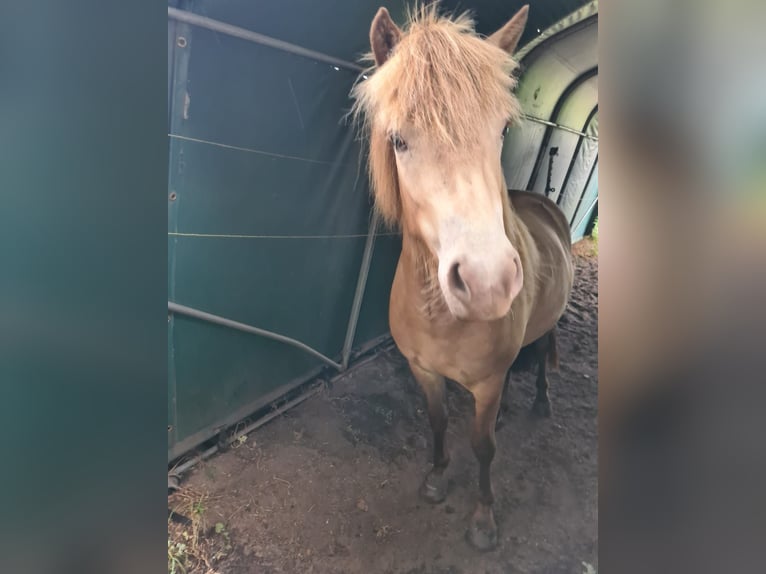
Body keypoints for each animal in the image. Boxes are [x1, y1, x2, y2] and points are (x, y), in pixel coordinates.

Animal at [350, 3, 574, 550]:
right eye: (399, 140)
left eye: (501, 132)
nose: (487, 281)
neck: (441, 318)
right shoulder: (424, 371)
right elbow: (438, 422)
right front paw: (435, 479)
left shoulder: (487, 383)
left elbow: (484, 445)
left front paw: (483, 519)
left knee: (543, 352)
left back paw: (540, 402)